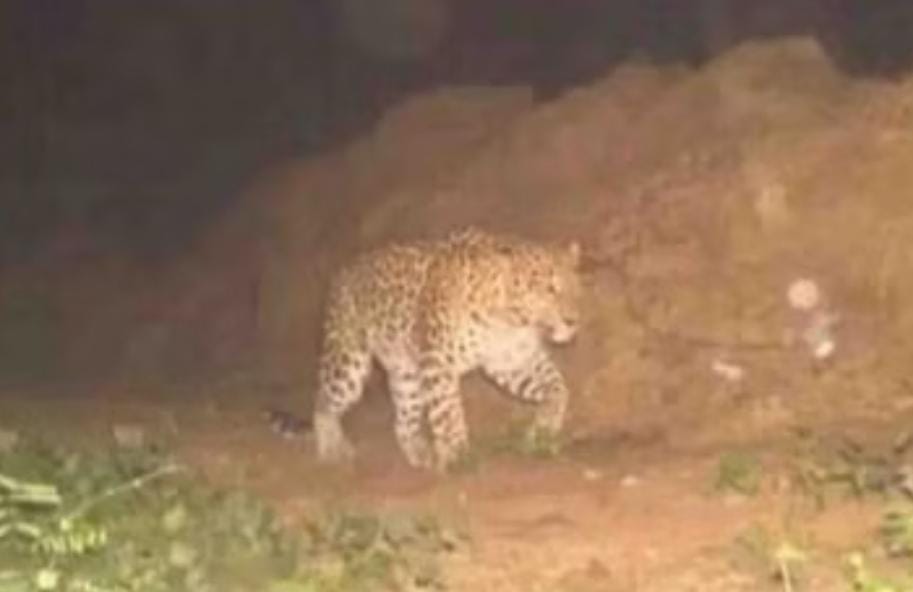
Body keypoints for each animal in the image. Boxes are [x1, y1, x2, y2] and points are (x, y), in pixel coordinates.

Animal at [311, 227, 582, 471]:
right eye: (548, 289)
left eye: (575, 286)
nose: (573, 321)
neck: (509, 321)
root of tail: (344, 271)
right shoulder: (438, 362)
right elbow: (449, 414)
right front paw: (460, 458)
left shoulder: (511, 360)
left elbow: (558, 387)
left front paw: (545, 426)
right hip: (348, 363)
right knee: (323, 402)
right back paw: (331, 449)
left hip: (407, 373)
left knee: (403, 422)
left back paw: (420, 454)